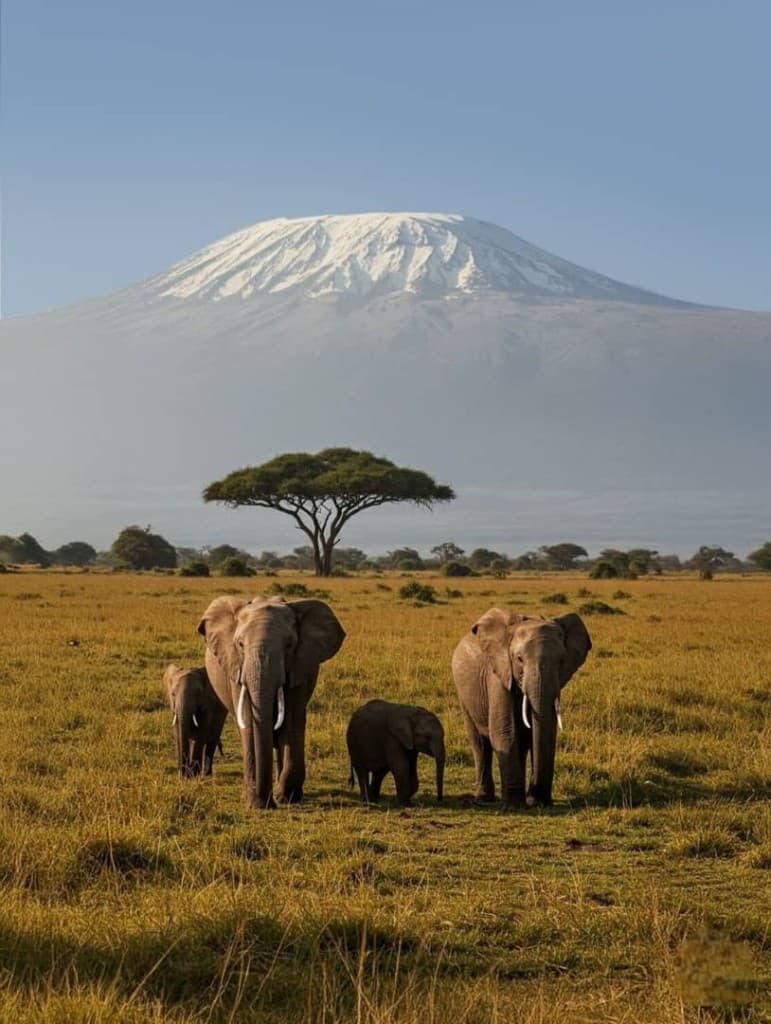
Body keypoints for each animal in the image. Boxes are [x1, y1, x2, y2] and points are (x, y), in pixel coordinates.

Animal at [197, 595, 345, 809]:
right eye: (240, 645)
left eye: (289, 645)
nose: (267, 803)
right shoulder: (236, 668)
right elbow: (250, 726)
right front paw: (256, 802)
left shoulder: (299, 666)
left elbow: (291, 722)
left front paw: (285, 797)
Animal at [452, 610, 591, 808]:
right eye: (519, 659)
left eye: (561, 660)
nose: (539, 803)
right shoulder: (498, 674)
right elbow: (504, 730)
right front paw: (514, 806)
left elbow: (544, 733)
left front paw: (535, 802)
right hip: (464, 696)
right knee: (479, 743)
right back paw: (484, 799)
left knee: (522, 744)